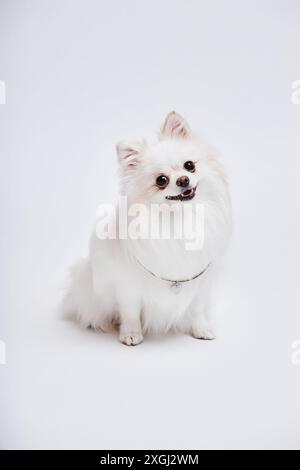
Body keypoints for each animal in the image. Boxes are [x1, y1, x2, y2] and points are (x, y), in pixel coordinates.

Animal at [61, 111, 232, 346]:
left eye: (189, 165)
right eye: (161, 180)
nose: (183, 180)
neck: (178, 218)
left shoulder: (199, 284)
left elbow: (196, 309)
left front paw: (201, 328)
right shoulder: (128, 286)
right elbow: (130, 312)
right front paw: (131, 334)